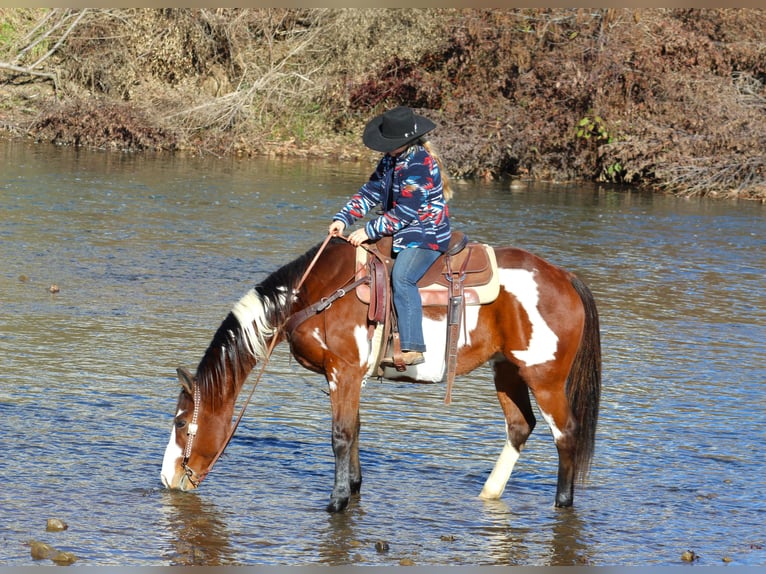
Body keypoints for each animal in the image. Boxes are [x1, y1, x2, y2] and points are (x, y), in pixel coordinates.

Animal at [162, 236, 604, 516]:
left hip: (544, 377)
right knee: (520, 426)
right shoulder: (347, 377)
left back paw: (562, 503)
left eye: (182, 423)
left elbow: (341, 435)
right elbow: (355, 429)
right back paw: (487, 493)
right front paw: (354, 489)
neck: (316, 295)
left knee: (566, 433)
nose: (168, 478)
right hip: (508, 370)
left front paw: (337, 501)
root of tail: (564, 278)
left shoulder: (343, 371)